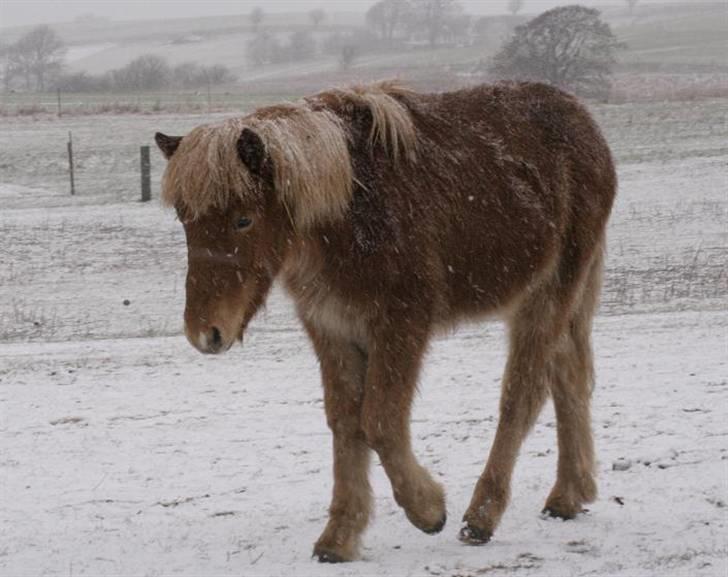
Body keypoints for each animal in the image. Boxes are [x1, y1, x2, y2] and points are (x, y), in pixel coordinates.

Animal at [155, 79, 616, 560]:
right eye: (185, 219)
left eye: (244, 219)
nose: (205, 332)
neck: (350, 211)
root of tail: (584, 122)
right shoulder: (332, 328)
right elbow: (345, 424)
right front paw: (340, 535)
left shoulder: (400, 323)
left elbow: (378, 421)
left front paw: (427, 509)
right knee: (568, 379)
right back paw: (568, 495)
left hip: (548, 296)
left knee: (522, 396)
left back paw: (481, 516)